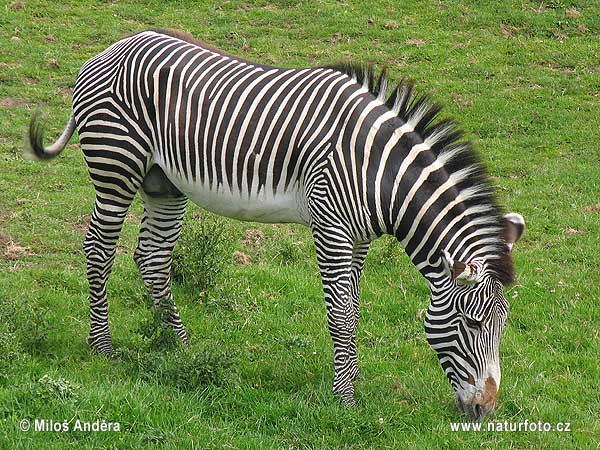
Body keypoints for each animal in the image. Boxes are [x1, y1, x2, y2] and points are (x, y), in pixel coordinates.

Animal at [27, 29, 524, 420]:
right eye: (471, 324)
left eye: (502, 325)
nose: (485, 410)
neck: (379, 171)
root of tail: (115, 45)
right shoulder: (330, 223)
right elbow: (340, 316)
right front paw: (346, 400)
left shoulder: (359, 237)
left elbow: (354, 310)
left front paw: (352, 383)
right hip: (116, 165)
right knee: (98, 249)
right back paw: (103, 347)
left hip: (163, 182)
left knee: (152, 258)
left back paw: (178, 345)